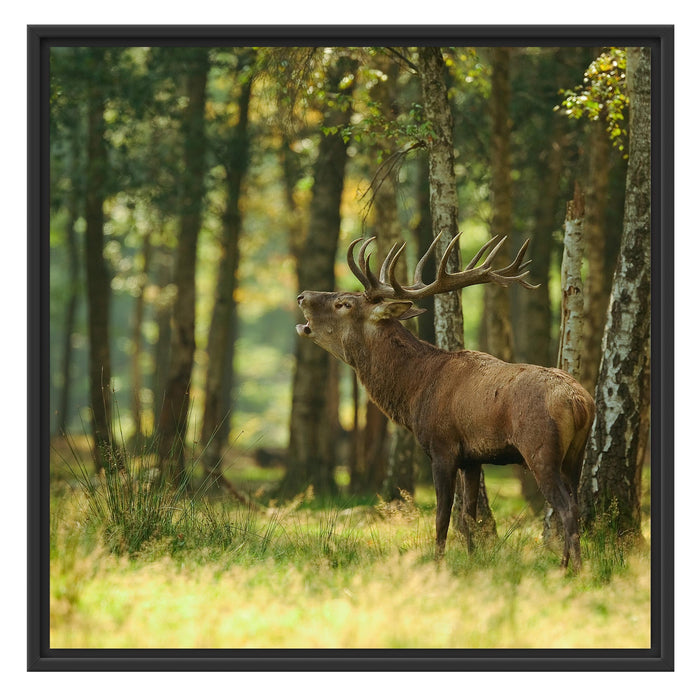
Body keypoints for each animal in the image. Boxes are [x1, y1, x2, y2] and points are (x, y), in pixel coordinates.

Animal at [295, 233, 595, 571]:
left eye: (344, 303)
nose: (302, 295)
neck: (415, 391)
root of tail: (580, 402)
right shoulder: (473, 458)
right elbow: (468, 517)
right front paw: (473, 560)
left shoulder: (442, 447)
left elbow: (442, 517)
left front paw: (437, 563)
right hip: (576, 454)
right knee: (575, 504)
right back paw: (567, 564)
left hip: (540, 448)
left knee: (566, 507)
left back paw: (572, 569)